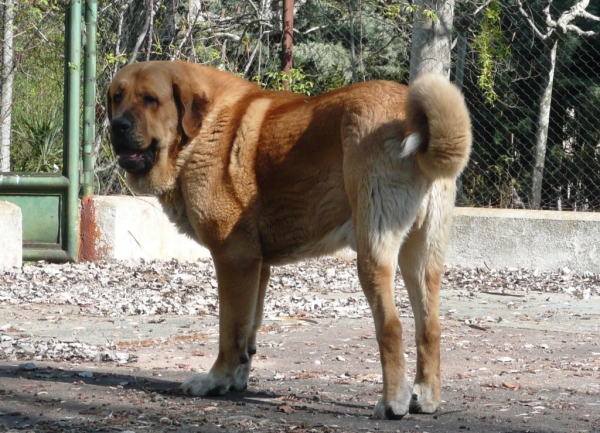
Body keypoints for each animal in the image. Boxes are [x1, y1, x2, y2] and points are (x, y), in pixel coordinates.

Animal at [109, 60, 474, 418]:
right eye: (116, 97)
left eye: (150, 100)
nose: (117, 126)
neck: (201, 131)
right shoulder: (257, 266)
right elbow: (249, 329)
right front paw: (236, 380)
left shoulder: (233, 259)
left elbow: (230, 330)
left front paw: (215, 381)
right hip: (422, 259)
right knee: (430, 327)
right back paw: (425, 397)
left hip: (373, 251)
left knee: (392, 325)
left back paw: (392, 403)